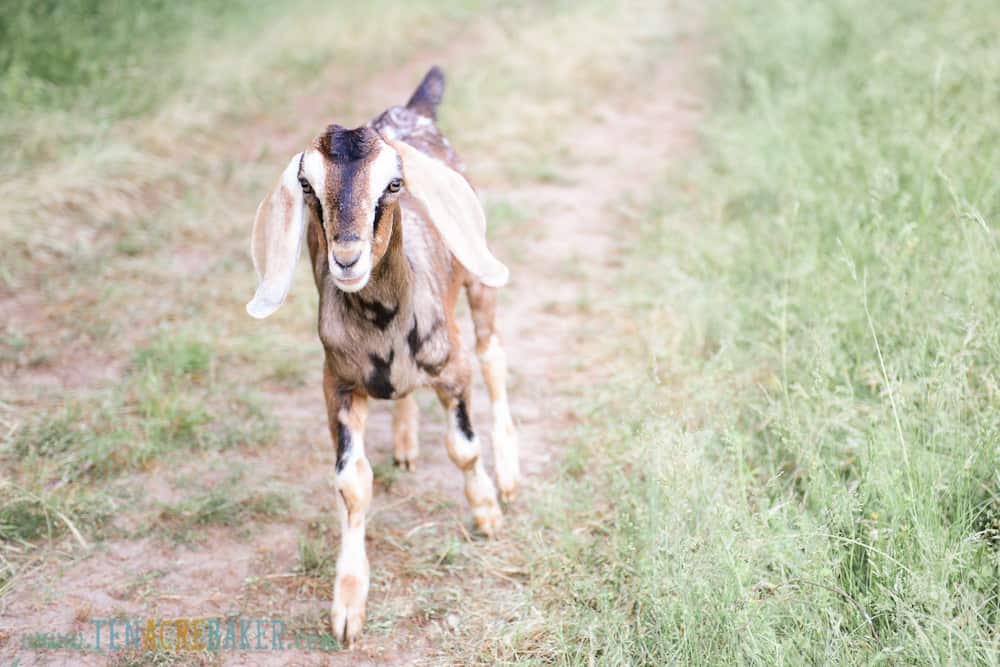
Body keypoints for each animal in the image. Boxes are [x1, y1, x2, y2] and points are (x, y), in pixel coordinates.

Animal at [246, 69, 520, 648]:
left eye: (393, 185)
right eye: (308, 186)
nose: (347, 258)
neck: (382, 325)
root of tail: (411, 110)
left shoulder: (451, 368)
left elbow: (464, 446)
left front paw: (486, 513)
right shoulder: (337, 384)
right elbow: (352, 482)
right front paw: (347, 608)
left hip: (478, 282)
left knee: (493, 357)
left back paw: (508, 475)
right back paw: (406, 441)